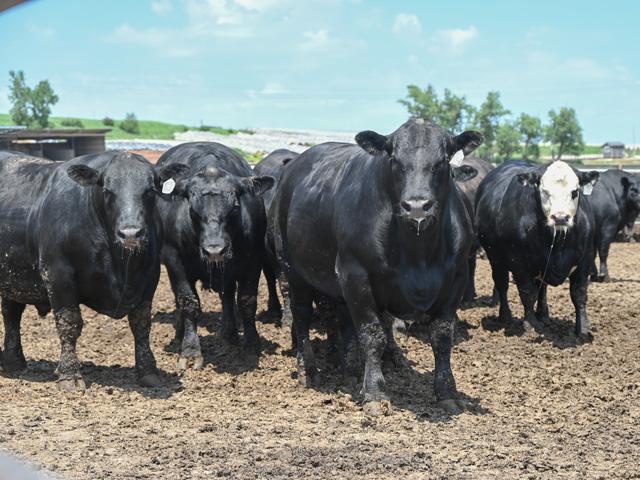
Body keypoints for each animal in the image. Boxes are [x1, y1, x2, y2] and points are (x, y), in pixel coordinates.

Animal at [0, 150, 187, 391]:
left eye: (150, 191)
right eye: (107, 190)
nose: (130, 233)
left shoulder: (150, 276)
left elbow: (141, 324)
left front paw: (148, 372)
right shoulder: (58, 274)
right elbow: (69, 324)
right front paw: (70, 375)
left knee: (11, 313)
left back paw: (13, 361)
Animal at [155, 142, 274, 369]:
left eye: (235, 206)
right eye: (192, 209)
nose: (214, 250)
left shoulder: (253, 260)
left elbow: (247, 301)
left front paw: (252, 345)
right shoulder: (175, 262)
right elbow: (188, 303)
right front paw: (190, 351)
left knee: (227, 295)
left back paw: (229, 333)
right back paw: (180, 334)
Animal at [270, 119, 483, 415]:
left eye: (442, 161)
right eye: (394, 159)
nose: (417, 205)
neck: (418, 253)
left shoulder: (456, 279)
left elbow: (442, 337)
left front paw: (447, 392)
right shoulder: (356, 275)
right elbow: (373, 335)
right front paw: (375, 393)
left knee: (342, 319)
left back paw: (350, 368)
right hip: (292, 269)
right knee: (301, 317)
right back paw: (307, 370)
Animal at [476, 160, 600, 339]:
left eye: (575, 192)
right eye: (544, 191)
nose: (560, 217)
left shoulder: (586, 259)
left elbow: (579, 294)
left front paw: (582, 329)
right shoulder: (518, 263)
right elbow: (527, 293)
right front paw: (531, 325)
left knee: (542, 288)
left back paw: (543, 315)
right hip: (496, 260)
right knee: (502, 285)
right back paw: (505, 317)